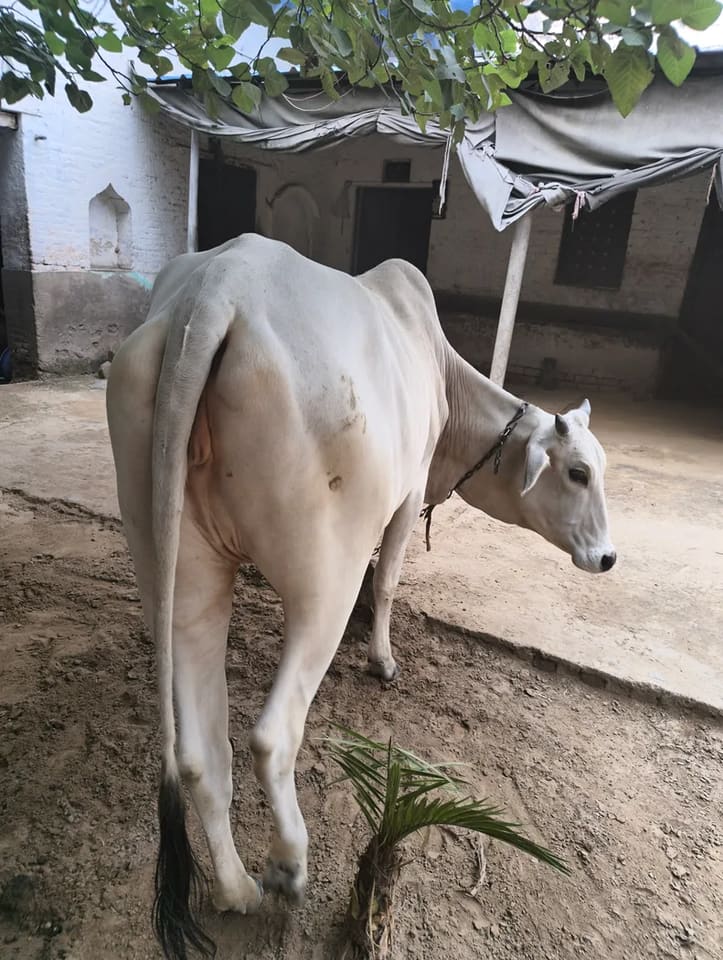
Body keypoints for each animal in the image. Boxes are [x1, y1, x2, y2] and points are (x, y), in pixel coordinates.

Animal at [106, 234, 615, 960]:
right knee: (271, 735)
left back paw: (236, 891)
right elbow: (390, 578)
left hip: (177, 568)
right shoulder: (407, 494)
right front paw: (382, 660)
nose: (607, 556)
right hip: (325, 576)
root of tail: (216, 289)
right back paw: (288, 866)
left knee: (202, 755)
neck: (440, 374)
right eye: (576, 472)